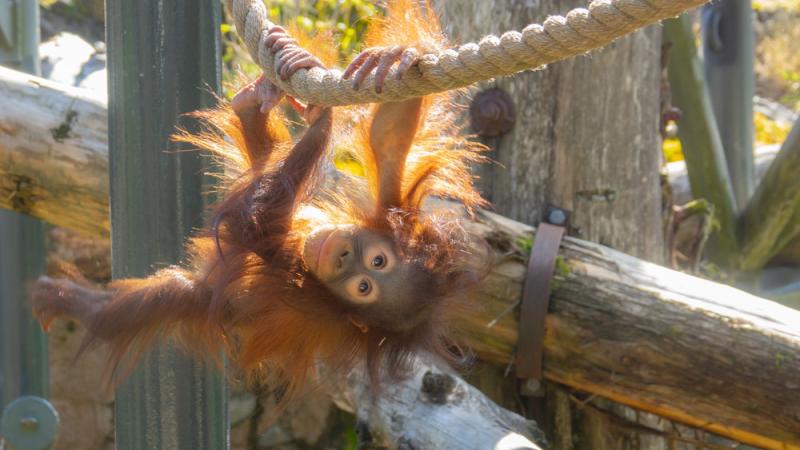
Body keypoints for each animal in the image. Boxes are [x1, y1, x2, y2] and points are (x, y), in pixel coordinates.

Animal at [31, 0, 487, 401]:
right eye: (377, 261)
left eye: (364, 287)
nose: (344, 258)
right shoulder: (400, 218)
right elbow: (388, 141)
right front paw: (398, 58)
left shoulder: (305, 296)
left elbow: (251, 227)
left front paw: (323, 118)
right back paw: (258, 99)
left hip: (208, 303)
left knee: (170, 295)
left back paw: (73, 304)